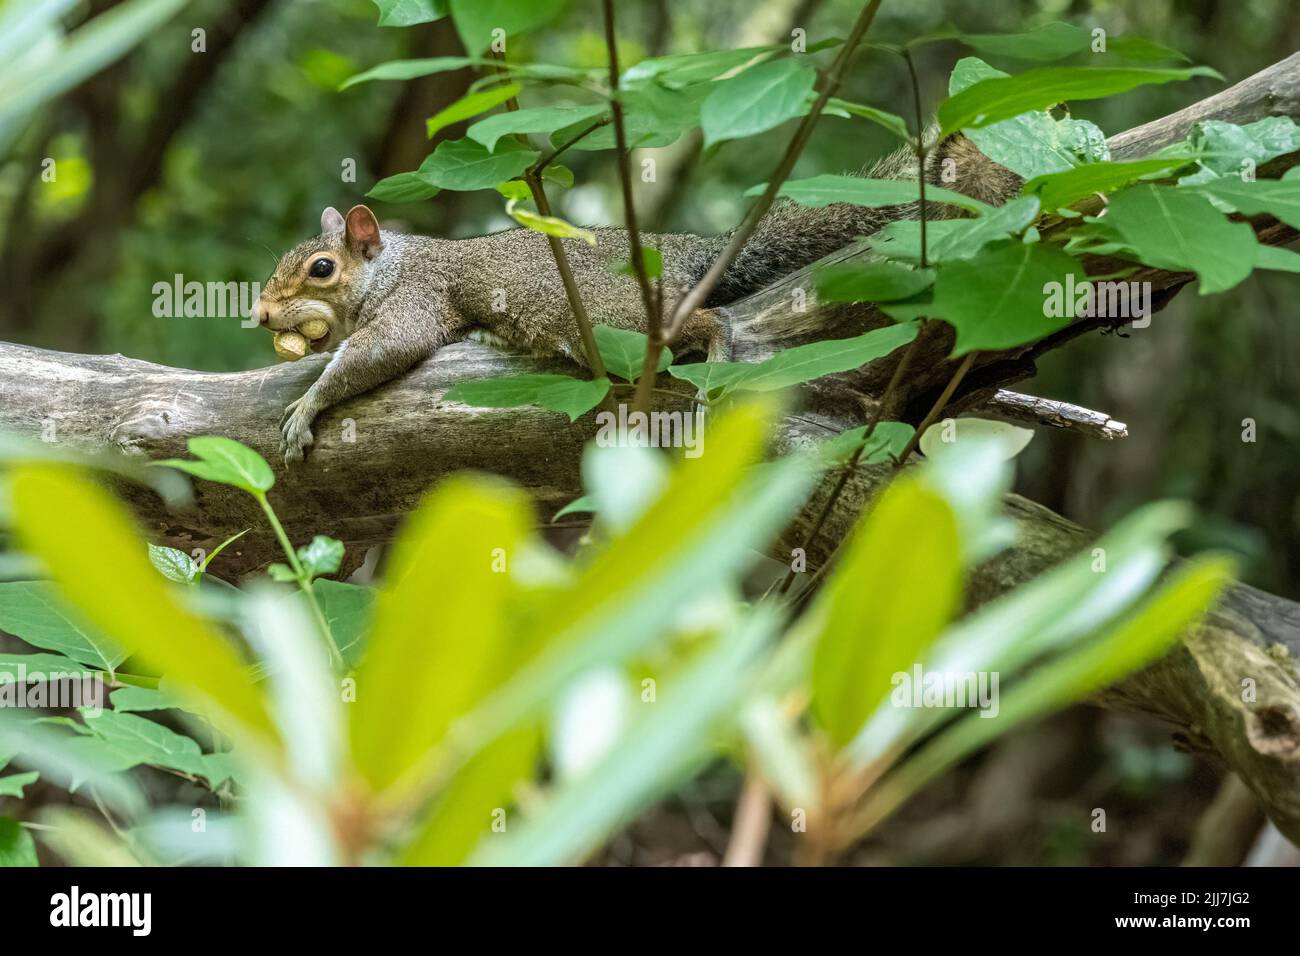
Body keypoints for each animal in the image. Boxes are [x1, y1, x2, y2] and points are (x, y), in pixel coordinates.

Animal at [255, 134, 1016, 463]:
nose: (260, 313)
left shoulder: (416, 299)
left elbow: (383, 349)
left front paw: (305, 407)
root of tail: (685, 251)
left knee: (704, 321)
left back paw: (715, 353)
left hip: (612, 316)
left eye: (321, 269)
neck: (391, 266)